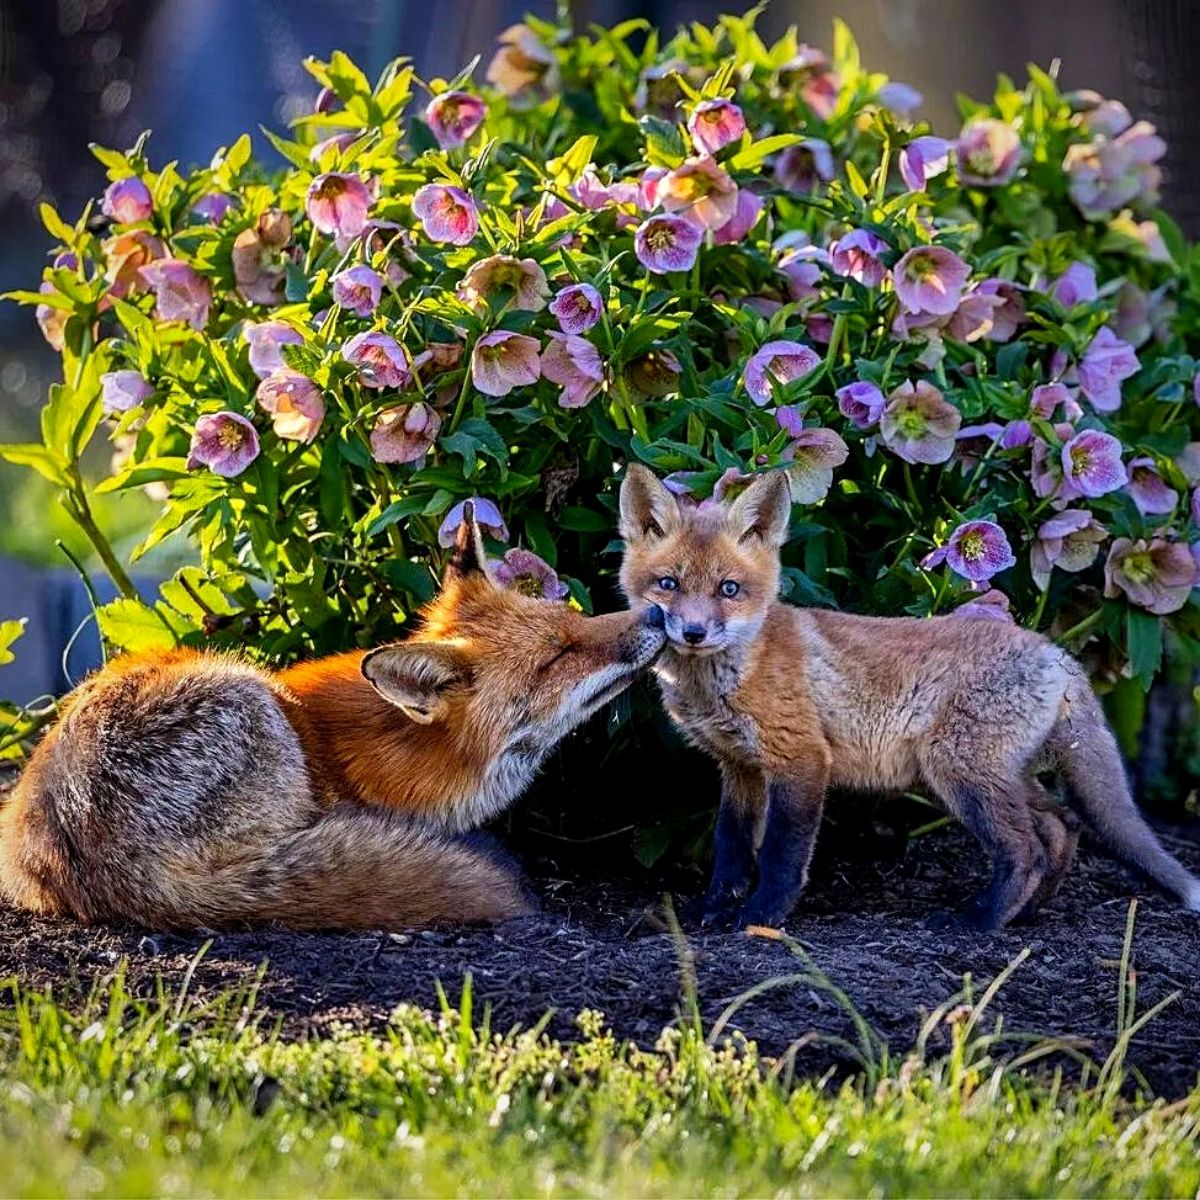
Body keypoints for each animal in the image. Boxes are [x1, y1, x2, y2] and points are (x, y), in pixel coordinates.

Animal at [619, 463, 1200, 931]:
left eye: (729, 590)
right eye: (668, 584)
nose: (694, 633)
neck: (726, 677)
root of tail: (1055, 653)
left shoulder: (801, 758)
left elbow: (783, 857)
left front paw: (760, 920)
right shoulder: (739, 767)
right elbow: (731, 852)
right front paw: (713, 912)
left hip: (958, 772)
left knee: (1025, 849)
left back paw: (978, 922)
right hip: (999, 773)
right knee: (1061, 826)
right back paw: (1025, 915)